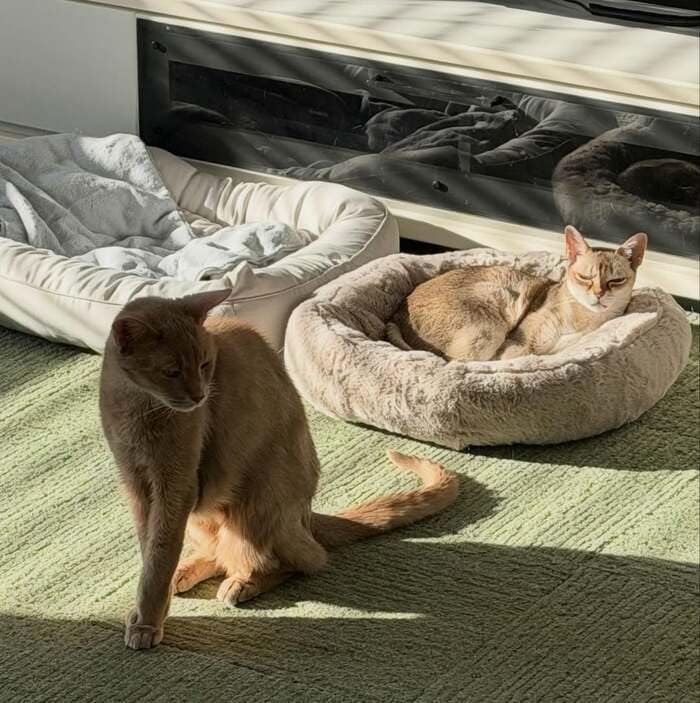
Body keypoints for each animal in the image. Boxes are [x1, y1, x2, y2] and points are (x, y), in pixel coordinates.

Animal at [99, 291, 458, 650]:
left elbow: (159, 555)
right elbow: (151, 551)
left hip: (254, 505)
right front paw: (147, 607)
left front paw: (147, 623)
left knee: (297, 560)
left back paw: (240, 584)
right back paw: (185, 572)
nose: (200, 395)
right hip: (205, 518)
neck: (137, 409)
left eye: (204, 365)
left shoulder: (177, 485)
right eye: (172, 372)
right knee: (221, 551)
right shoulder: (136, 484)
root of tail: (307, 517)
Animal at [386, 226, 647, 361]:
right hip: (493, 309)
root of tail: (397, 315)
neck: (586, 319)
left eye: (616, 281)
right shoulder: (519, 343)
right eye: (585, 277)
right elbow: (512, 357)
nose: (599, 294)